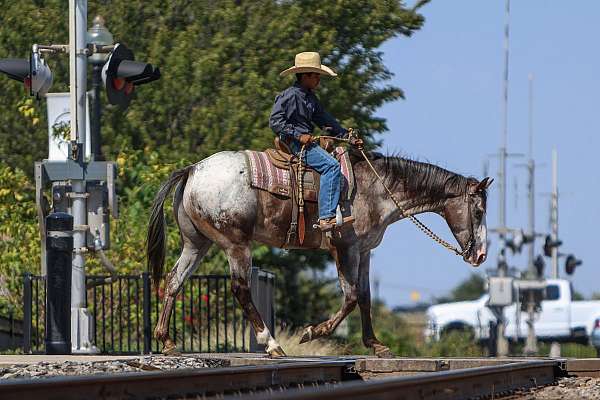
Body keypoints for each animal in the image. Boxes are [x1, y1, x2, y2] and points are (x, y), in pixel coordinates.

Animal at [146, 150, 492, 356]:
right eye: (478, 211)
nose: (480, 256)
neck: (375, 190)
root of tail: (192, 170)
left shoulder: (364, 251)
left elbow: (365, 297)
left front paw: (376, 345)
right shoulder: (344, 248)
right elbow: (350, 297)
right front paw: (312, 332)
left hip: (197, 243)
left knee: (174, 280)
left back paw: (166, 341)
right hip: (236, 244)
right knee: (241, 290)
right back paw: (272, 344)